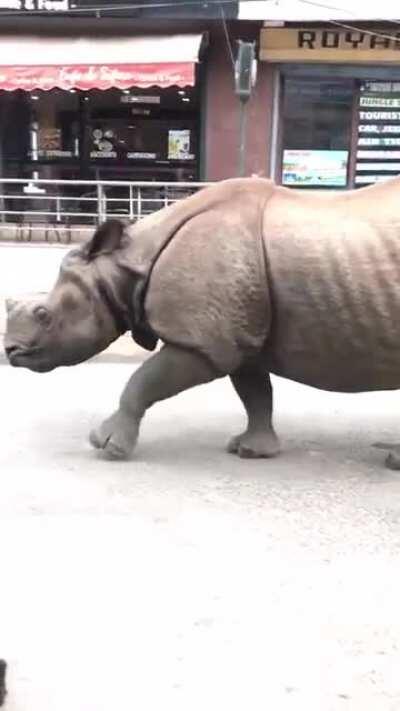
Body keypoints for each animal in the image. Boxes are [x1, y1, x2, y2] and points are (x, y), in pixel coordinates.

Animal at [5, 176, 400, 467]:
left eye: (44, 315)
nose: (10, 351)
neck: (125, 265)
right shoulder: (236, 335)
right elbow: (255, 392)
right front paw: (250, 451)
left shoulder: (201, 342)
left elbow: (143, 381)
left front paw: (106, 445)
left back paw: (391, 464)